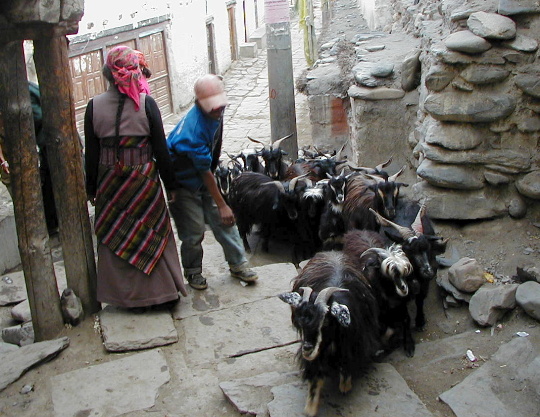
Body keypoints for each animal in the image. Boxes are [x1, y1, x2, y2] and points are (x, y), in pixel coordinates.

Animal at [278, 250, 380, 416]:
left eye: (325, 321)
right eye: (300, 320)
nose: (307, 349)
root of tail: (333, 252)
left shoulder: (354, 342)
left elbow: (347, 363)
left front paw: (345, 386)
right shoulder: (317, 352)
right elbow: (315, 373)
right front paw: (310, 409)